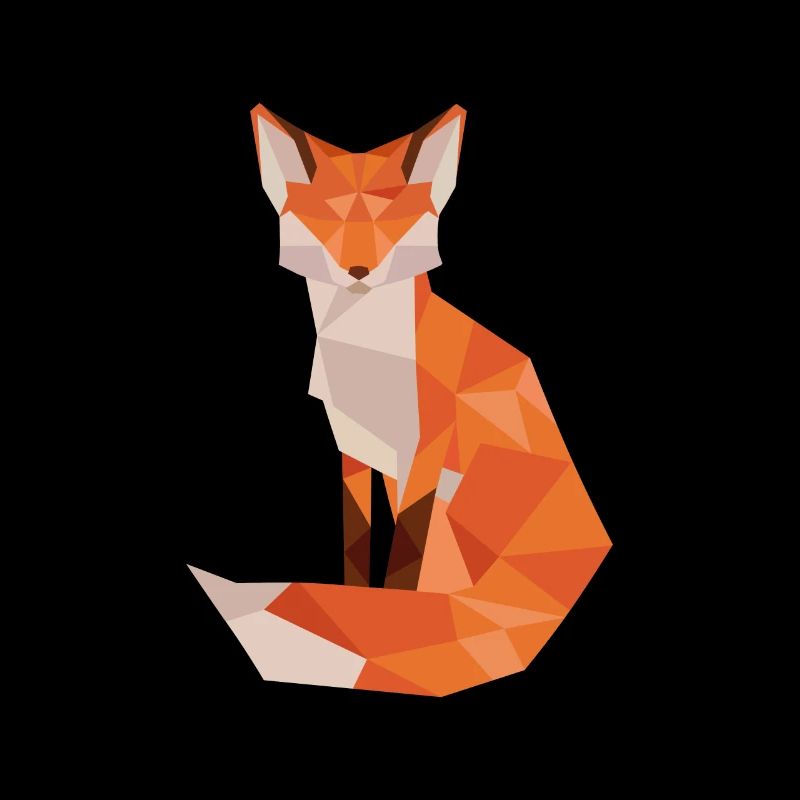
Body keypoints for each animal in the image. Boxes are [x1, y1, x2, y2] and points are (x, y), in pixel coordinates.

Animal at [188, 104, 612, 696]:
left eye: (392, 223)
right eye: (328, 222)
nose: (358, 271)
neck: (367, 355)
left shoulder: (425, 452)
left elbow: (404, 562)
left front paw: (387, 610)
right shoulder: (353, 448)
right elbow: (358, 545)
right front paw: (356, 598)